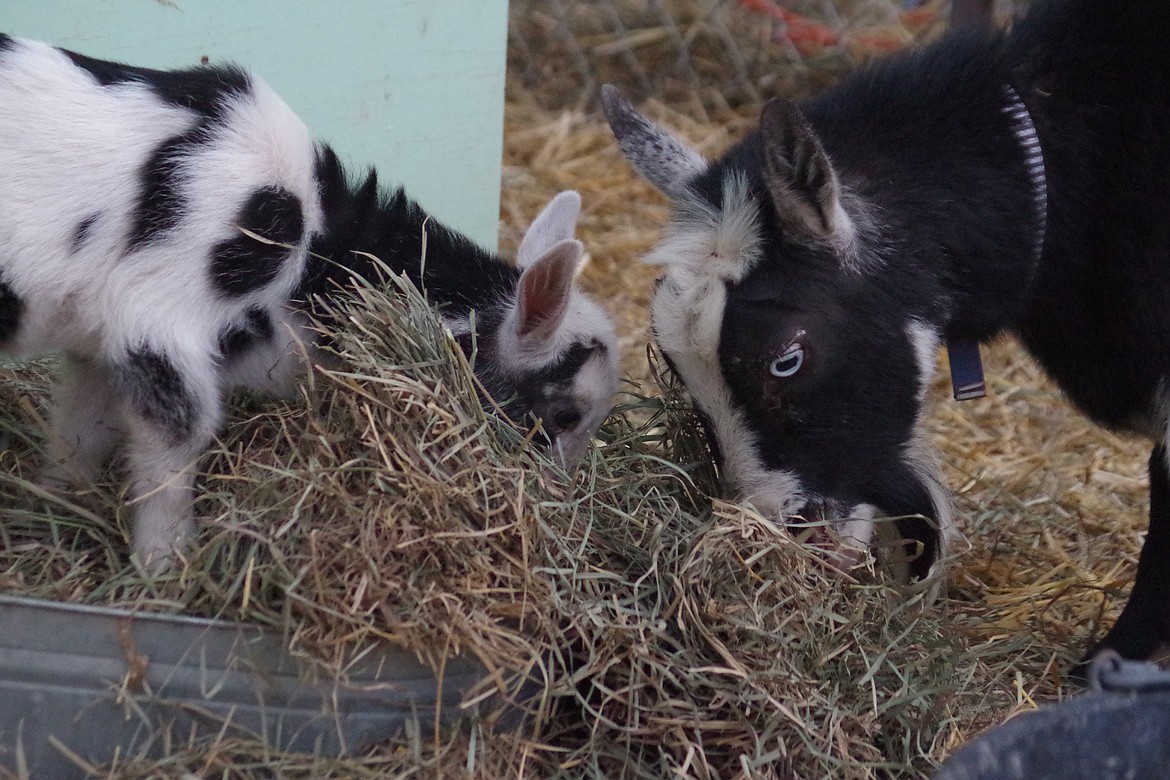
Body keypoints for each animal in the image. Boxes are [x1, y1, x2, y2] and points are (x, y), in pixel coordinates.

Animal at [0, 35, 622, 568]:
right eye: (565, 416)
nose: (558, 505)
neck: (312, 247)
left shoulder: (99, 342)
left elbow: (81, 431)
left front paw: (55, 512)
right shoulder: (159, 326)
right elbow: (173, 451)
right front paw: (166, 564)